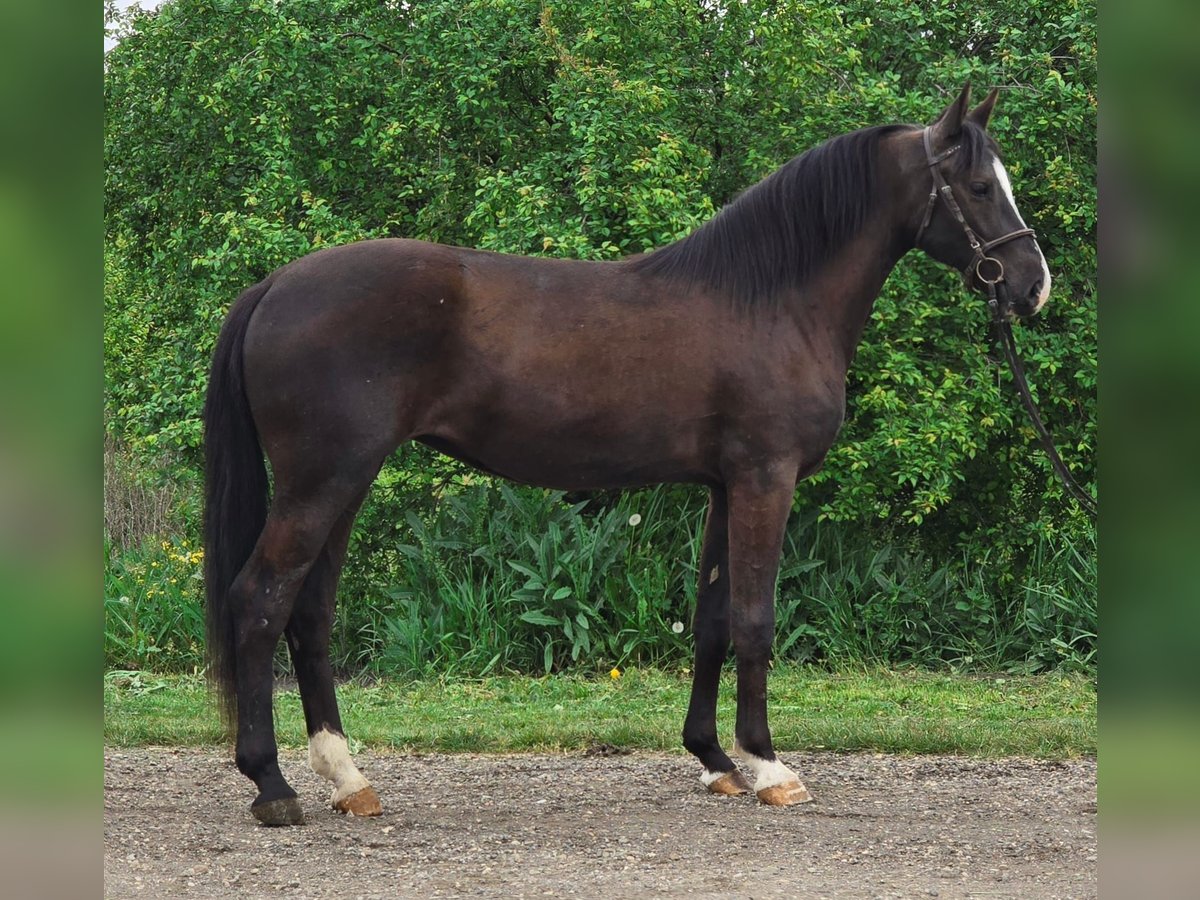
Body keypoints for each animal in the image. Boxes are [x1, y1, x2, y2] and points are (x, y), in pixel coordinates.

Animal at [206, 82, 1051, 825]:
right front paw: (770, 767)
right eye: (980, 185)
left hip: (345, 482)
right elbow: (755, 620)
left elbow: (712, 620)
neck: (771, 299)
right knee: (260, 601)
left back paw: (348, 779)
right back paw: (272, 785)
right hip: (323, 480)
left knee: (310, 613)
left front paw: (715, 761)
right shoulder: (765, 479)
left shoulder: (723, 485)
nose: (1032, 286)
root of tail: (274, 286)